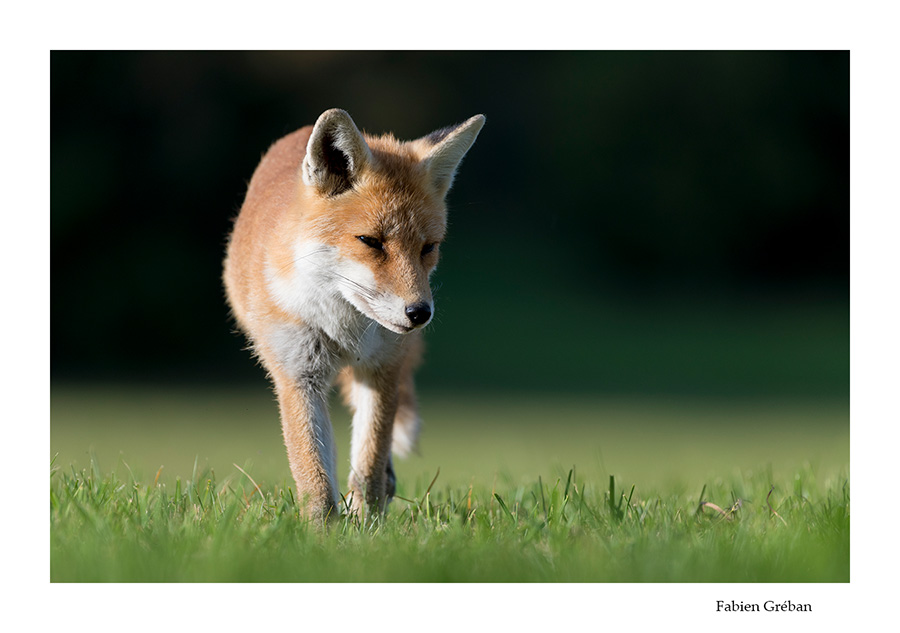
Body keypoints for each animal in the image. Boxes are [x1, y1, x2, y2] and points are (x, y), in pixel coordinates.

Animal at [222, 108, 486, 520]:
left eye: (428, 247)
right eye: (370, 241)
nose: (419, 313)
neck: (343, 328)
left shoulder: (383, 368)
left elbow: (369, 463)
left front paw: (368, 524)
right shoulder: (298, 374)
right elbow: (314, 474)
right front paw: (321, 530)